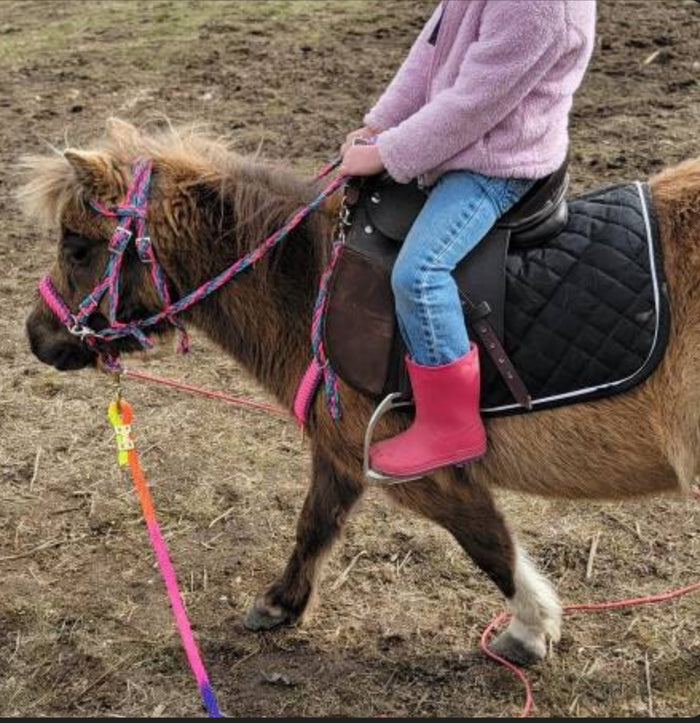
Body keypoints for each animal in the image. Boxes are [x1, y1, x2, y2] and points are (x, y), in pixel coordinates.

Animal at [21, 118, 700, 666]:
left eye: (76, 247)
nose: (36, 337)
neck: (308, 285)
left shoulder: (428, 476)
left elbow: (489, 544)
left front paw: (531, 631)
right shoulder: (339, 451)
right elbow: (315, 523)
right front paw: (280, 605)